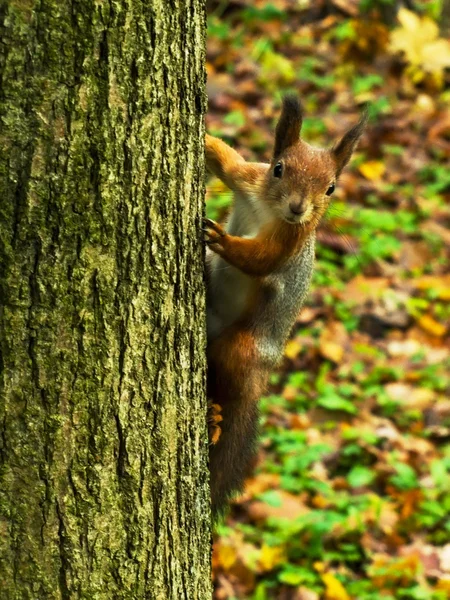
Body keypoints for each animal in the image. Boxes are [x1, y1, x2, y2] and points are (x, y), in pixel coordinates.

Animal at [204, 95, 366, 516]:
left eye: (331, 188)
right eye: (278, 169)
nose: (298, 208)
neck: (270, 209)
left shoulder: (287, 242)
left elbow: (259, 259)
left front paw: (221, 239)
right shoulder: (247, 178)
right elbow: (224, 159)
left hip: (243, 347)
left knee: (231, 384)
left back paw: (214, 418)